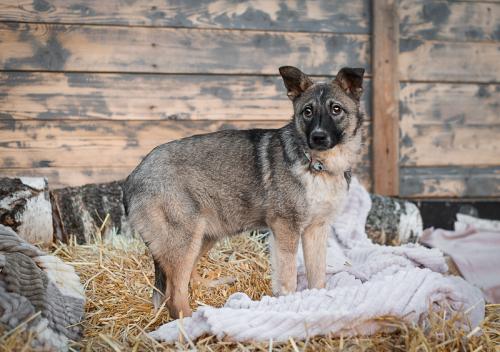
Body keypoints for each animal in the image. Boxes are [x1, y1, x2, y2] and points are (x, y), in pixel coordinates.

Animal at [121, 66, 364, 320]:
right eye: (307, 112)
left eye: (336, 109)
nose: (318, 137)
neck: (319, 165)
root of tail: (132, 177)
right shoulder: (285, 228)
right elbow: (287, 278)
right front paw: (288, 302)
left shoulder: (316, 230)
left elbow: (317, 277)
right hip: (184, 239)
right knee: (174, 295)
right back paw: (192, 320)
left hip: (203, 235)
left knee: (188, 281)